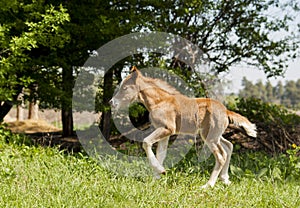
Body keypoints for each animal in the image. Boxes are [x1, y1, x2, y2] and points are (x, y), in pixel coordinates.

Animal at [109, 67, 256, 188]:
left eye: (125, 88)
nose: (111, 102)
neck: (160, 101)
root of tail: (226, 111)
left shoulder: (167, 129)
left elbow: (146, 142)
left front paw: (160, 171)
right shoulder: (165, 133)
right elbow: (160, 153)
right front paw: (157, 178)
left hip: (209, 137)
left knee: (221, 156)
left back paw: (208, 185)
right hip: (216, 135)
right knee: (229, 146)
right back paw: (225, 179)